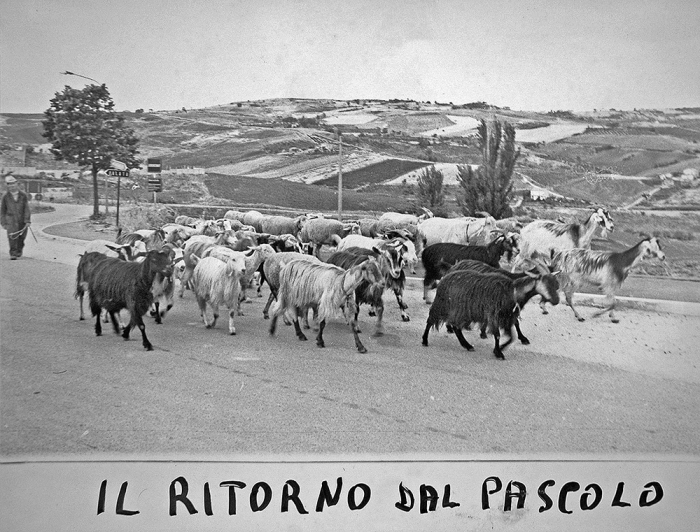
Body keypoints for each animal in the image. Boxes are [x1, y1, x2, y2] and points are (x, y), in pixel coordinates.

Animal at [418, 268, 560, 360]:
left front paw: (499, 349)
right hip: (442, 305)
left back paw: (467, 345)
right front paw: (499, 352)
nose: (556, 300)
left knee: (456, 327)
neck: (512, 292)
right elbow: (497, 335)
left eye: (556, 284)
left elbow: (511, 337)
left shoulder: (507, 318)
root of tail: (444, 277)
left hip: (461, 310)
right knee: (430, 320)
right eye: (546, 284)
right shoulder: (494, 316)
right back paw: (425, 340)